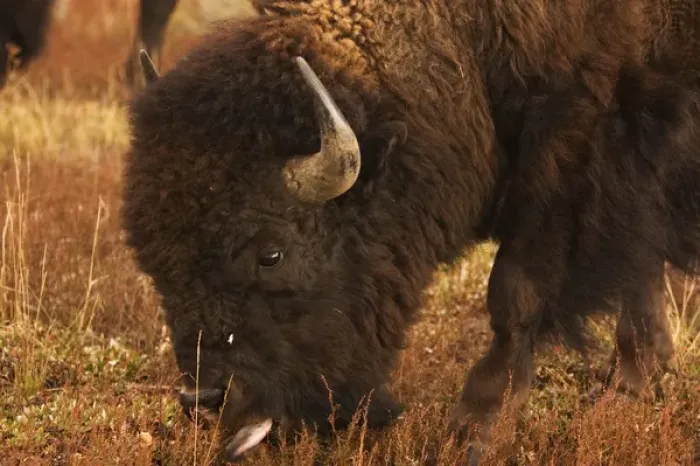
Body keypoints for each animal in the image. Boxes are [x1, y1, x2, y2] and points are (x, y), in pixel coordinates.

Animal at [121, 1, 700, 463]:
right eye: (152, 259)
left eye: (272, 254)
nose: (205, 401)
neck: (464, 38)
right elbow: (637, 273)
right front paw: (641, 379)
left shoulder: (585, 149)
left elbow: (517, 291)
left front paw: (472, 431)